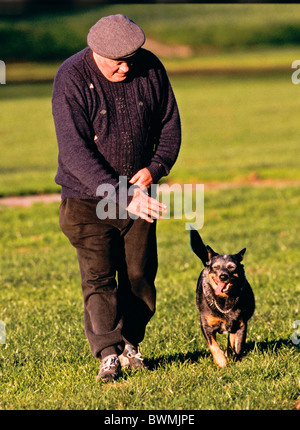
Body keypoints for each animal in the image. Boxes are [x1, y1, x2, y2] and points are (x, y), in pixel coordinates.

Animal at [191, 230, 254, 368]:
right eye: (216, 267)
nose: (223, 276)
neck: (224, 301)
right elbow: (214, 346)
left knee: (231, 342)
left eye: (231, 267)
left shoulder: (241, 324)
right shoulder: (206, 326)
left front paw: (237, 361)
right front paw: (221, 362)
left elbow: (238, 346)